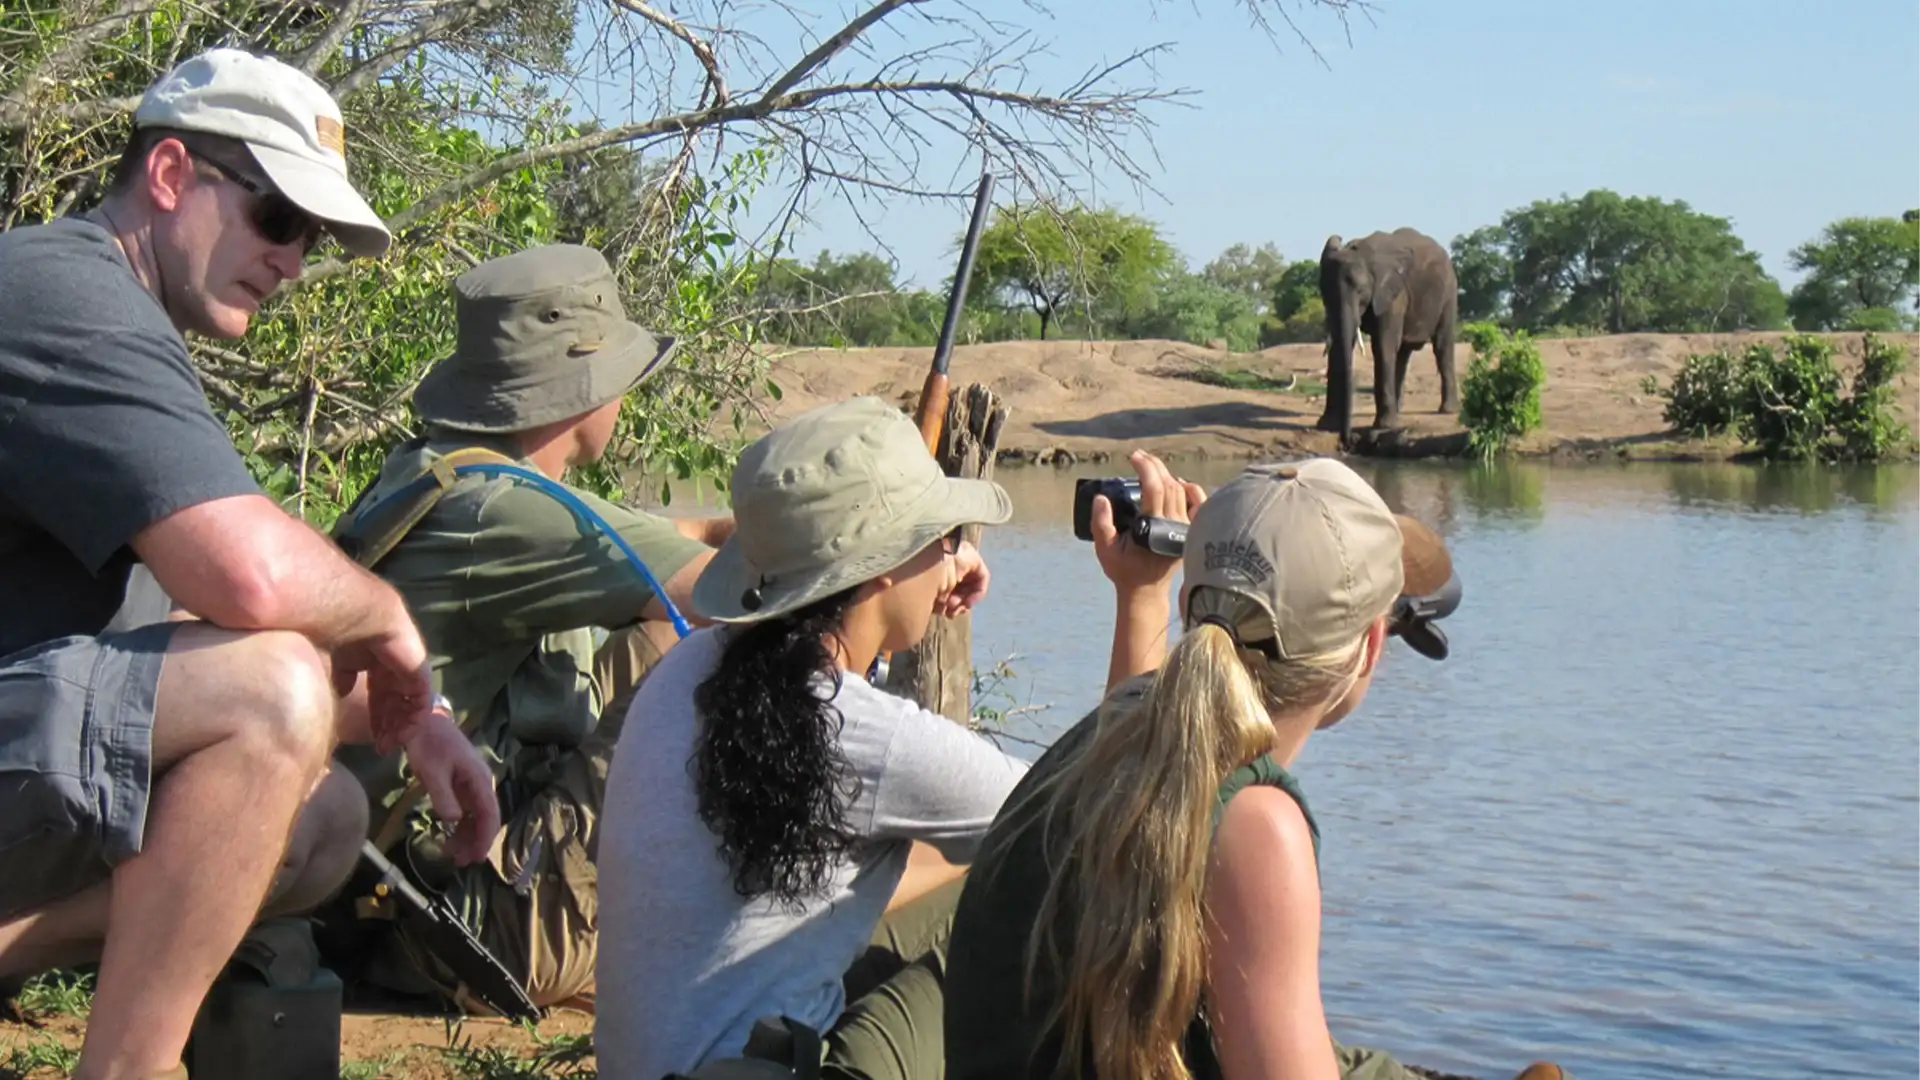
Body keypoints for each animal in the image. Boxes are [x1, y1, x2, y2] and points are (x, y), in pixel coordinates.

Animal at [1316, 228, 1460, 445]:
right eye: (1324, 293)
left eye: (1361, 291)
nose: (1351, 439)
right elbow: (1338, 349)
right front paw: (1325, 425)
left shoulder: (1394, 295)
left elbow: (1383, 346)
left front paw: (1384, 427)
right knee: (1403, 353)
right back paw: (1398, 411)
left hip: (1449, 294)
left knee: (1442, 346)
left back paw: (1447, 411)